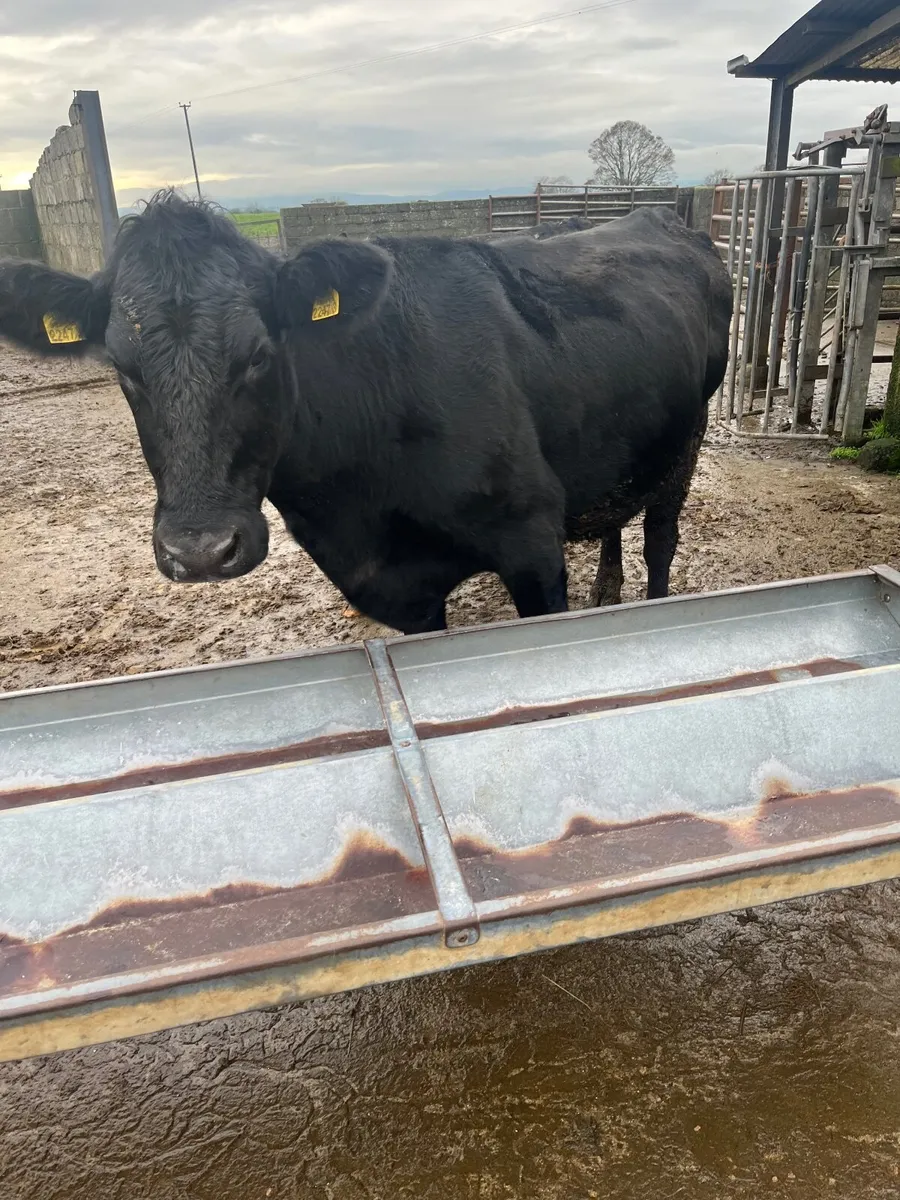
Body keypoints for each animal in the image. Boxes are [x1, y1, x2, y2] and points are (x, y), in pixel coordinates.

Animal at [0, 192, 732, 635]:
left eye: (260, 353)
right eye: (122, 367)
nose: (200, 551)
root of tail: (655, 214)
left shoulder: (531, 540)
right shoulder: (398, 589)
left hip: (690, 432)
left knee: (660, 538)